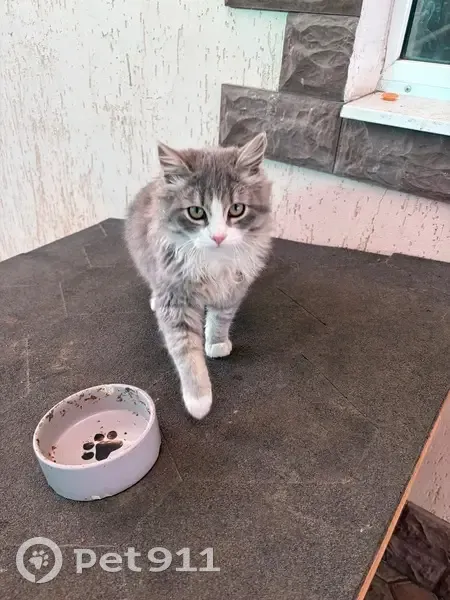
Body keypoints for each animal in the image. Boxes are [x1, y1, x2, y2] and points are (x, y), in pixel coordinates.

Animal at [125, 133, 272, 419]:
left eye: (236, 209)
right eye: (196, 212)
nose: (218, 237)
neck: (214, 260)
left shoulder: (232, 287)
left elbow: (221, 319)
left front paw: (216, 343)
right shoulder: (175, 297)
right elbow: (186, 351)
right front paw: (199, 399)